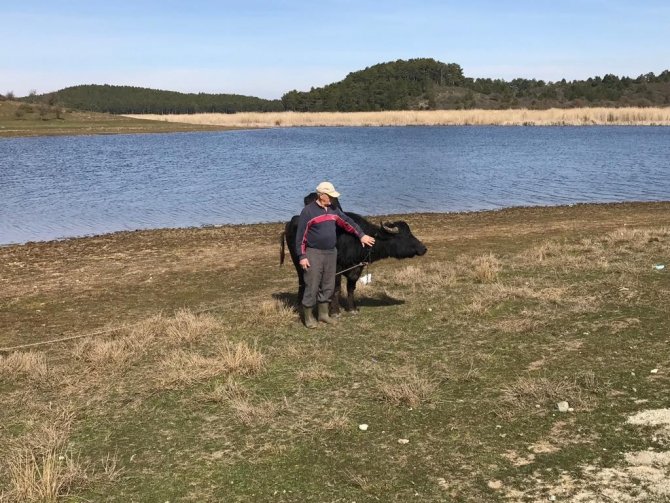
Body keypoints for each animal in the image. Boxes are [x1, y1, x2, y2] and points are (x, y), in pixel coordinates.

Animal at [280, 201, 428, 316]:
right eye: (405, 236)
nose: (423, 248)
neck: (355, 241)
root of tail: (291, 222)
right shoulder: (336, 268)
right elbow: (336, 289)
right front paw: (335, 311)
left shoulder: (357, 268)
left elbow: (351, 288)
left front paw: (352, 308)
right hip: (298, 262)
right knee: (302, 281)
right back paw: (300, 304)